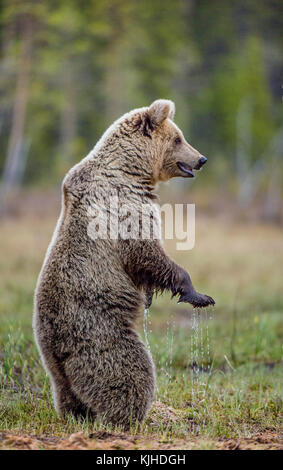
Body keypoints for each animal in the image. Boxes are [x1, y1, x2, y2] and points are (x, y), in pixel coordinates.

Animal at [33, 99, 215, 430]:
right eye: (178, 139)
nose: (201, 159)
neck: (131, 169)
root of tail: (55, 349)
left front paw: (152, 295)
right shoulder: (124, 205)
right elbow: (146, 252)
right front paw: (198, 295)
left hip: (55, 365)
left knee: (66, 391)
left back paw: (78, 414)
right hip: (98, 330)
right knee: (128, 371)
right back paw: (131, 416)